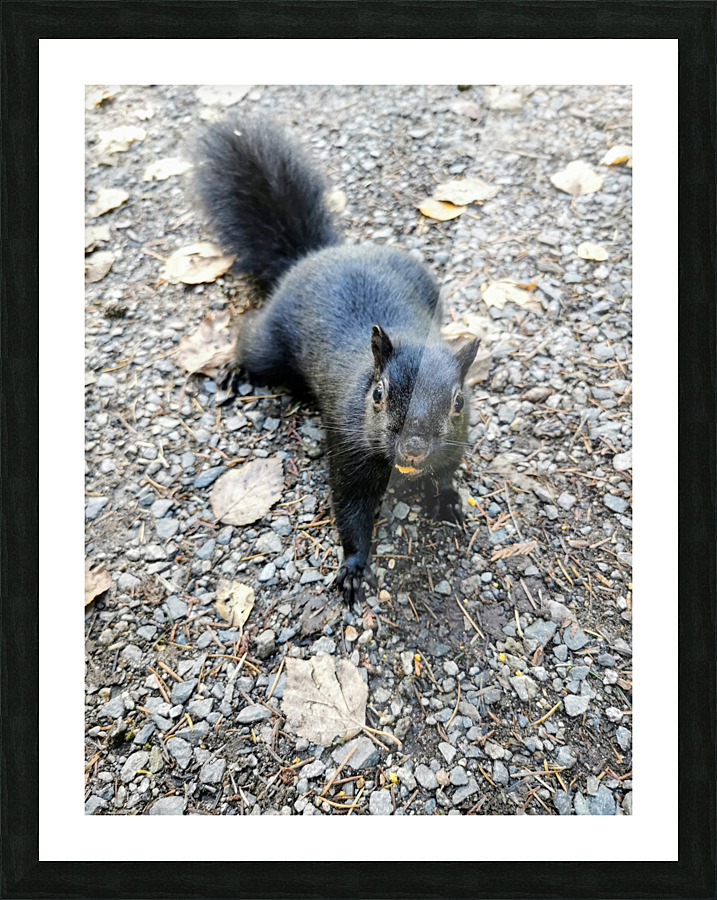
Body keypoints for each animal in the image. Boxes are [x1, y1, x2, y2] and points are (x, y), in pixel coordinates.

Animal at [193, 119, 479, 604]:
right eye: (378, 394)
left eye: (458, 402)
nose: (413, 448)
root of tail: (316, 254)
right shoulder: (348, 448)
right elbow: (351, 510)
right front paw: (354, 567)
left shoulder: (454, 444)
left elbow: (442, 476)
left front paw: (448, 501)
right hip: (270, 344)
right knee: (249, 339)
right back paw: (233, 367)